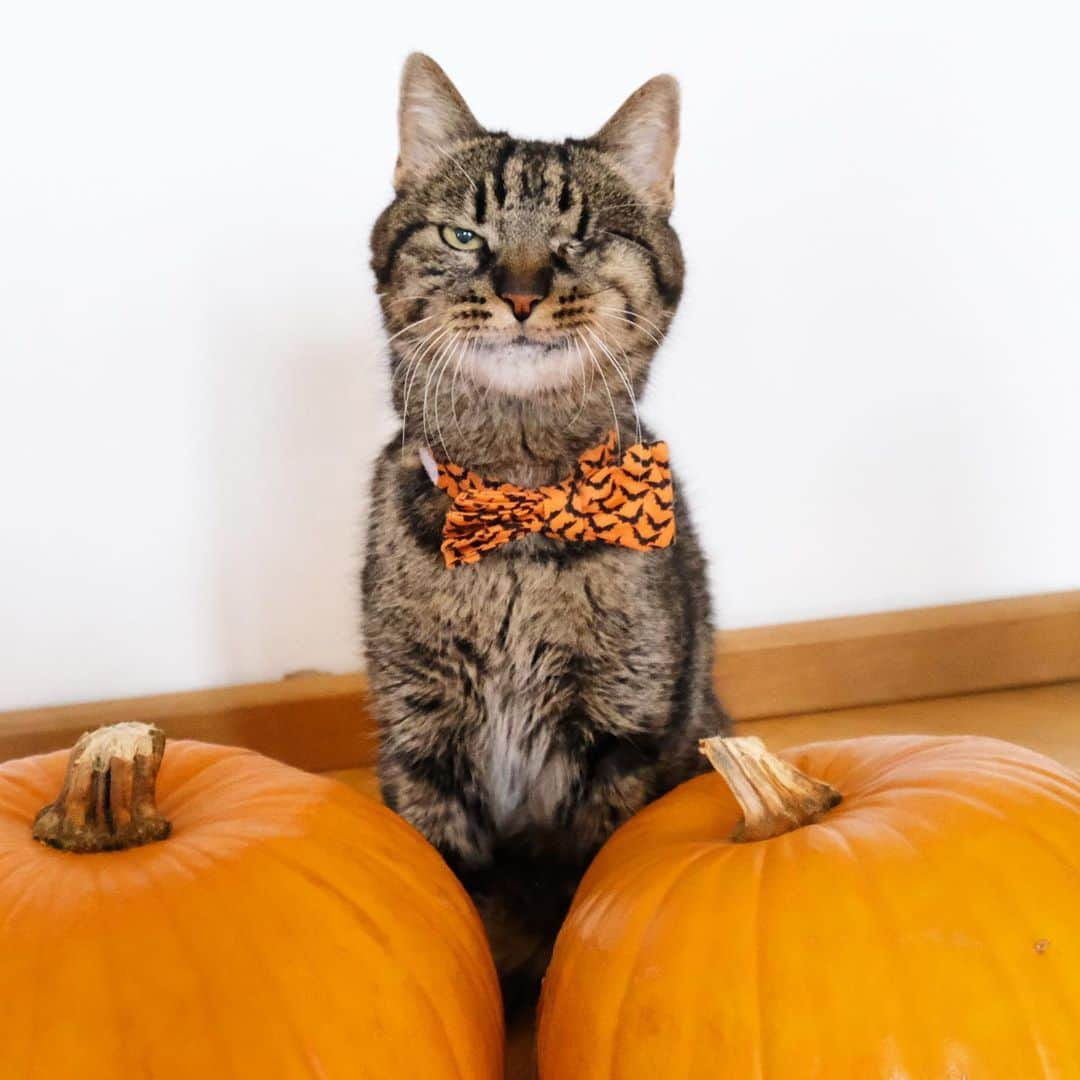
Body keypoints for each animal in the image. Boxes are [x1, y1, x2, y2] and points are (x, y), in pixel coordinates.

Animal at [365, 50, 734, 1010]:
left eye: (579, 240)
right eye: (465, 236)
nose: (523, 294)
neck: (520, 510)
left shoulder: (624, 734)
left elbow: (593, 883)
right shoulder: (419, 737)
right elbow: (449, 886)